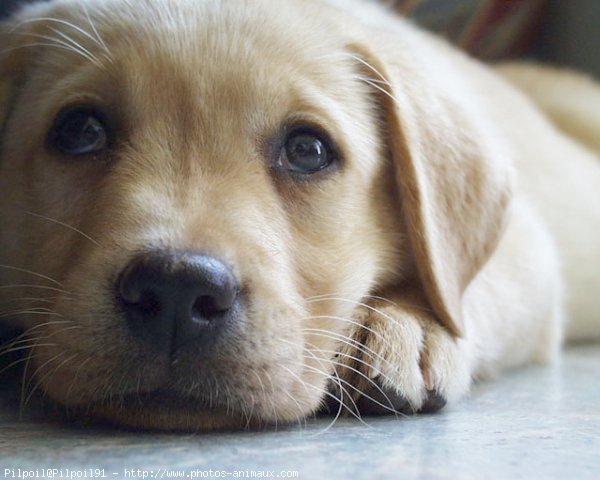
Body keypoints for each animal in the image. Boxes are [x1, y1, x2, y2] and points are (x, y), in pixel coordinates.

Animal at [1, 0, 600, 430]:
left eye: (307, 151)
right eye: (80, 130)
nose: (175, 289)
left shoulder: (529, 251)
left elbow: (466, 289)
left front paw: (409, 326)